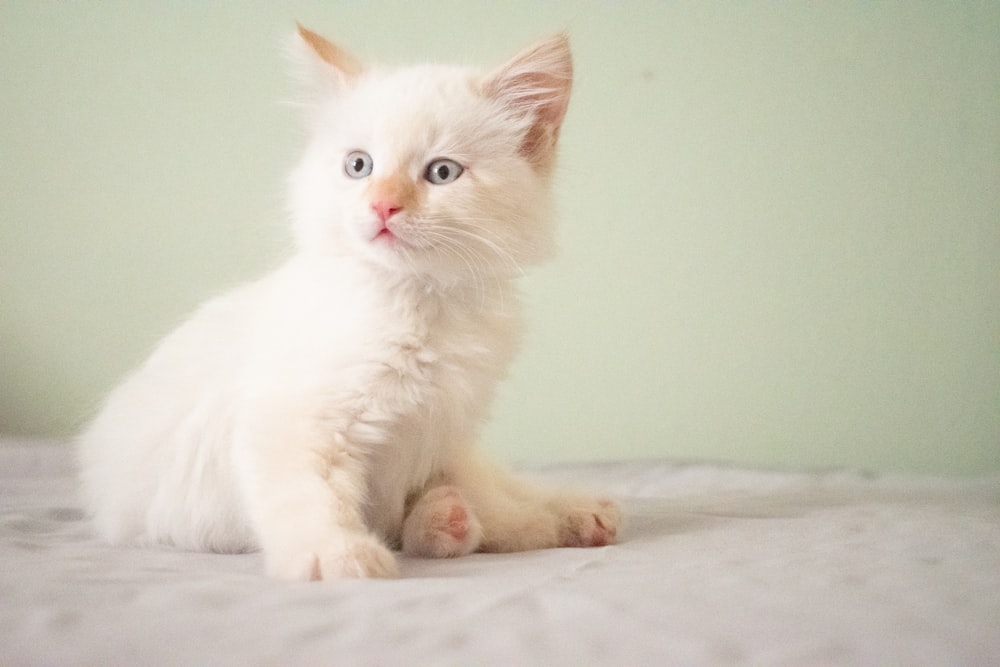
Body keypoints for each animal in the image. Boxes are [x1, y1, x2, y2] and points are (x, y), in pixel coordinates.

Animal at [78, 26, 620, 580]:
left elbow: (495, 506)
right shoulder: (296, 420)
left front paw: (525, 523)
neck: (417, 302)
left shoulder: (443, 430)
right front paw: (335, 555)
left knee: (501, 485)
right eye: (359, 166)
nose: (382, 205)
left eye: (442, 173)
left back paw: (569, 511)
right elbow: (310, 495)